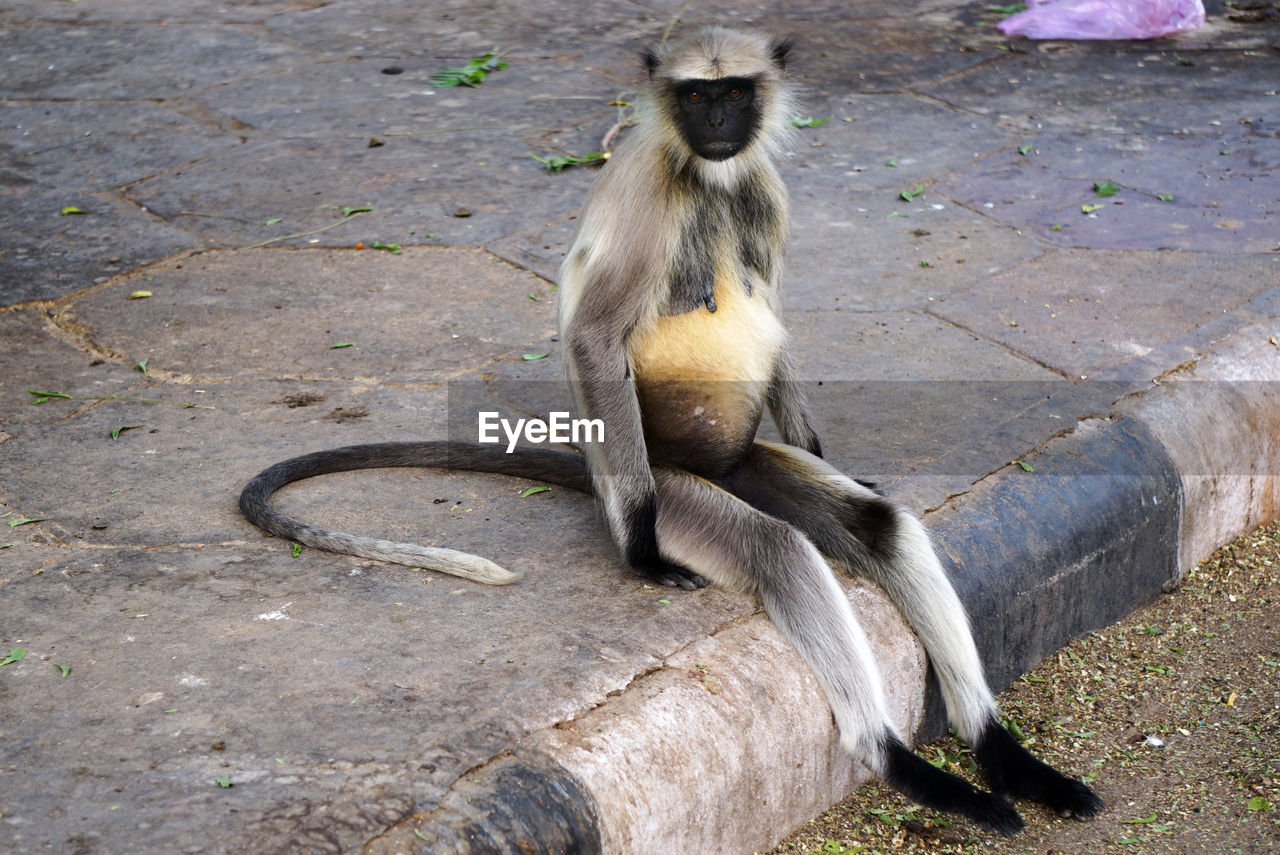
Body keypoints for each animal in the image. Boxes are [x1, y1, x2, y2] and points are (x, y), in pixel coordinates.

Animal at [241, 28, 1100, 834]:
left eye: (734, 91)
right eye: (695, 95)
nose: (717, 121)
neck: (706, 176)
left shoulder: (764, 188)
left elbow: (774, 312)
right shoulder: (652, 192)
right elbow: (595, 335)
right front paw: (642, 552)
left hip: (748, 458)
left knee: (878, 525)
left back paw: (1000, 751)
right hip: (669, 480)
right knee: (777, 546)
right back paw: (899, 760)